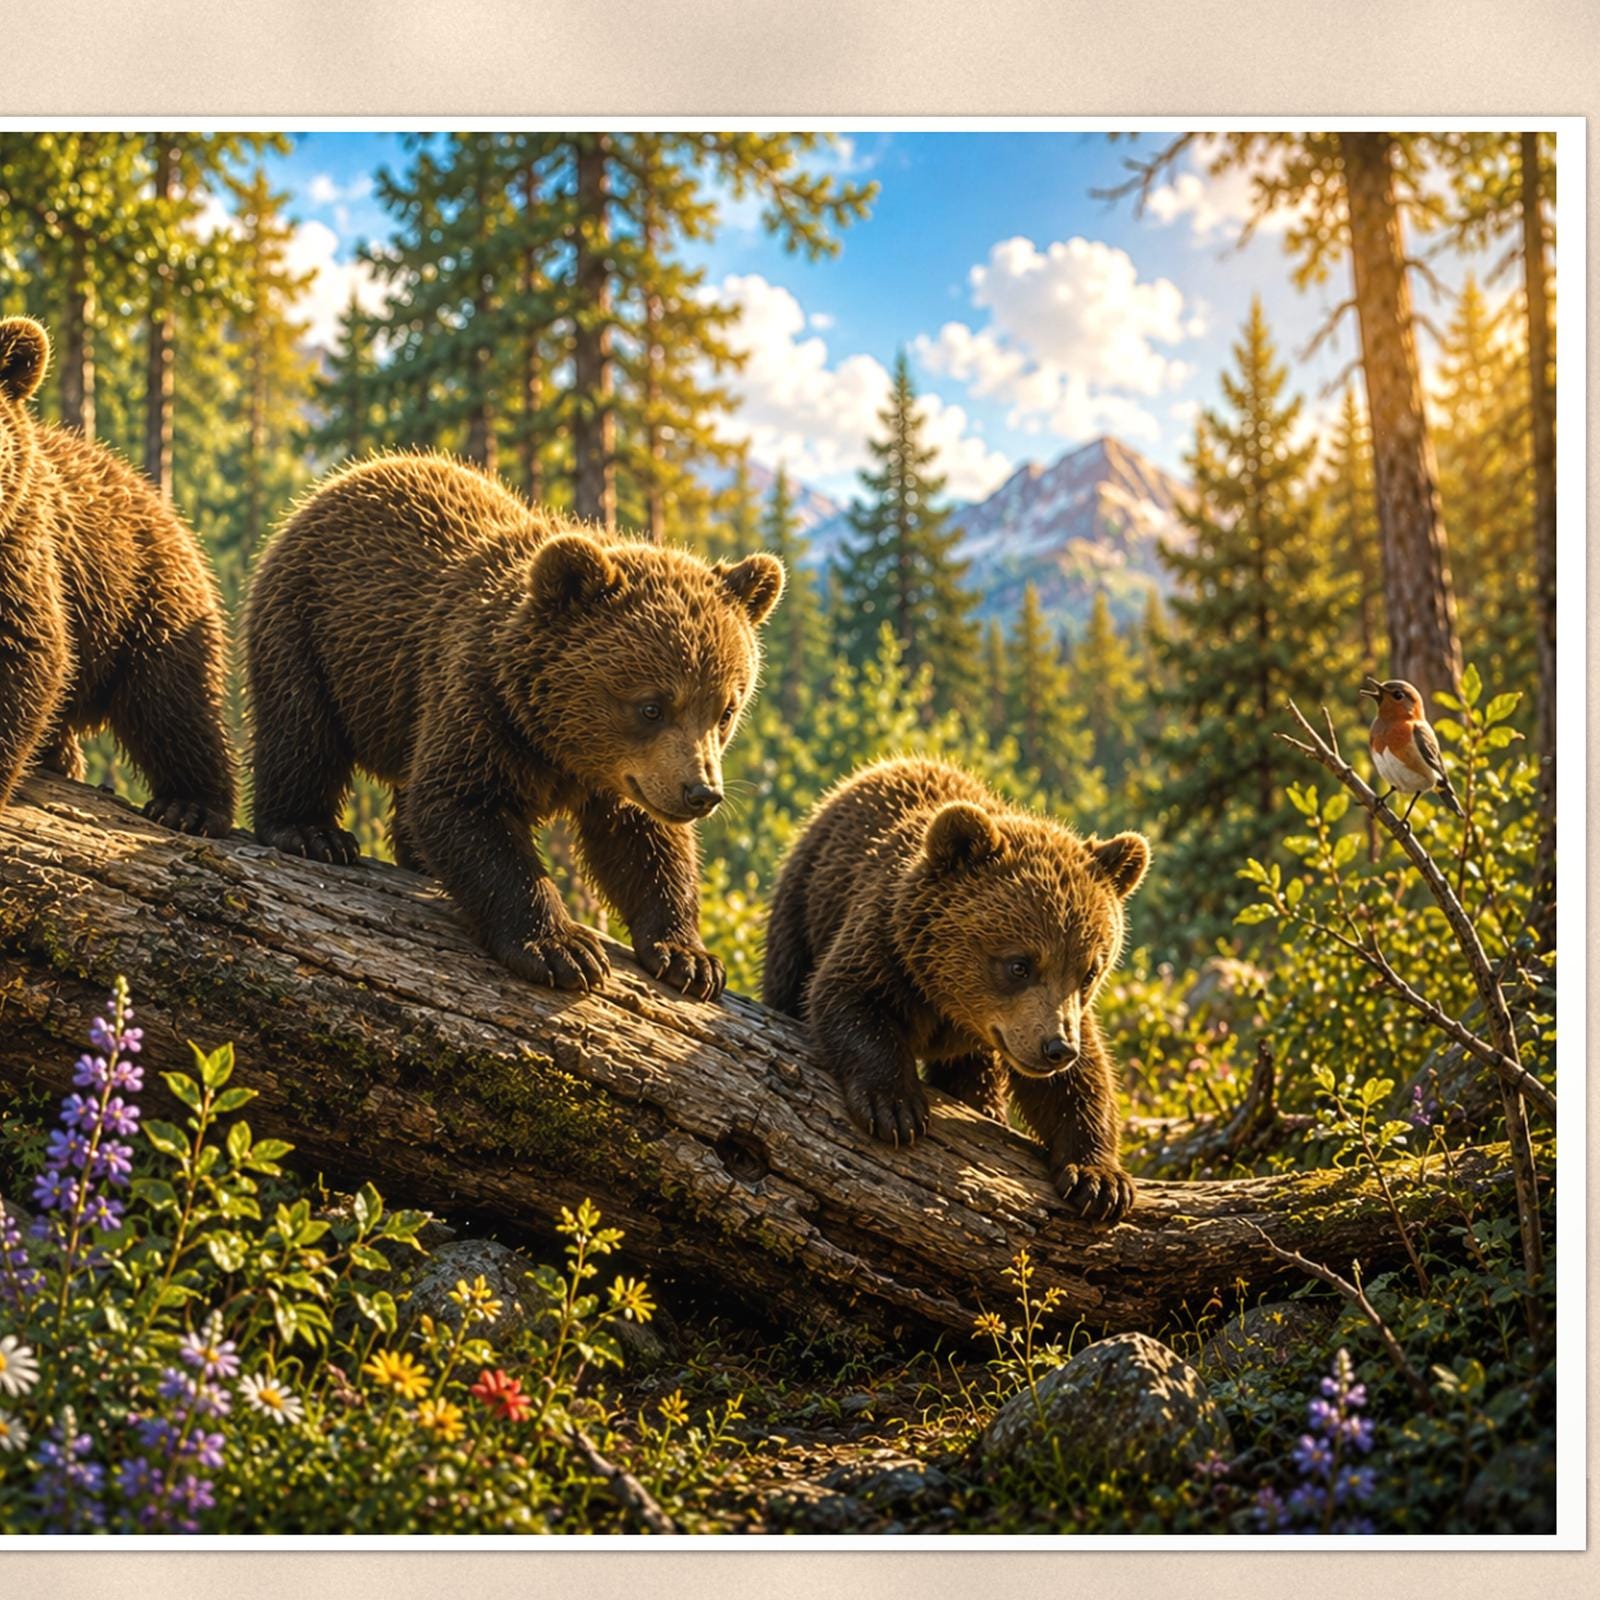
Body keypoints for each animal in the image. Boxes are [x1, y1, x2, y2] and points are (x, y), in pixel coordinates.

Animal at [245, 451, 784, 1002]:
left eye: (725, 709)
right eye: (651, 706)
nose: (701, 793)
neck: (558, 743)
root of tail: (352, 475)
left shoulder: (622, 777)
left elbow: (644, 844)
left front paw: (689, 957)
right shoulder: (484, 706)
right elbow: (463, 808)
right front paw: (563, 948)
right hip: (308, 627)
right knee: (299, 730)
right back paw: (312, 832)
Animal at [763, 757, 1150, 1223]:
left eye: (1090, 970)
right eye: (1019, 964)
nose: (1056, 1048)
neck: (951, 1004)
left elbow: (1079, 1082)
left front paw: (1100, 1179)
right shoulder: (889, 947)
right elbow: (846, 998)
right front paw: (895, 1107)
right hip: (802, 901)